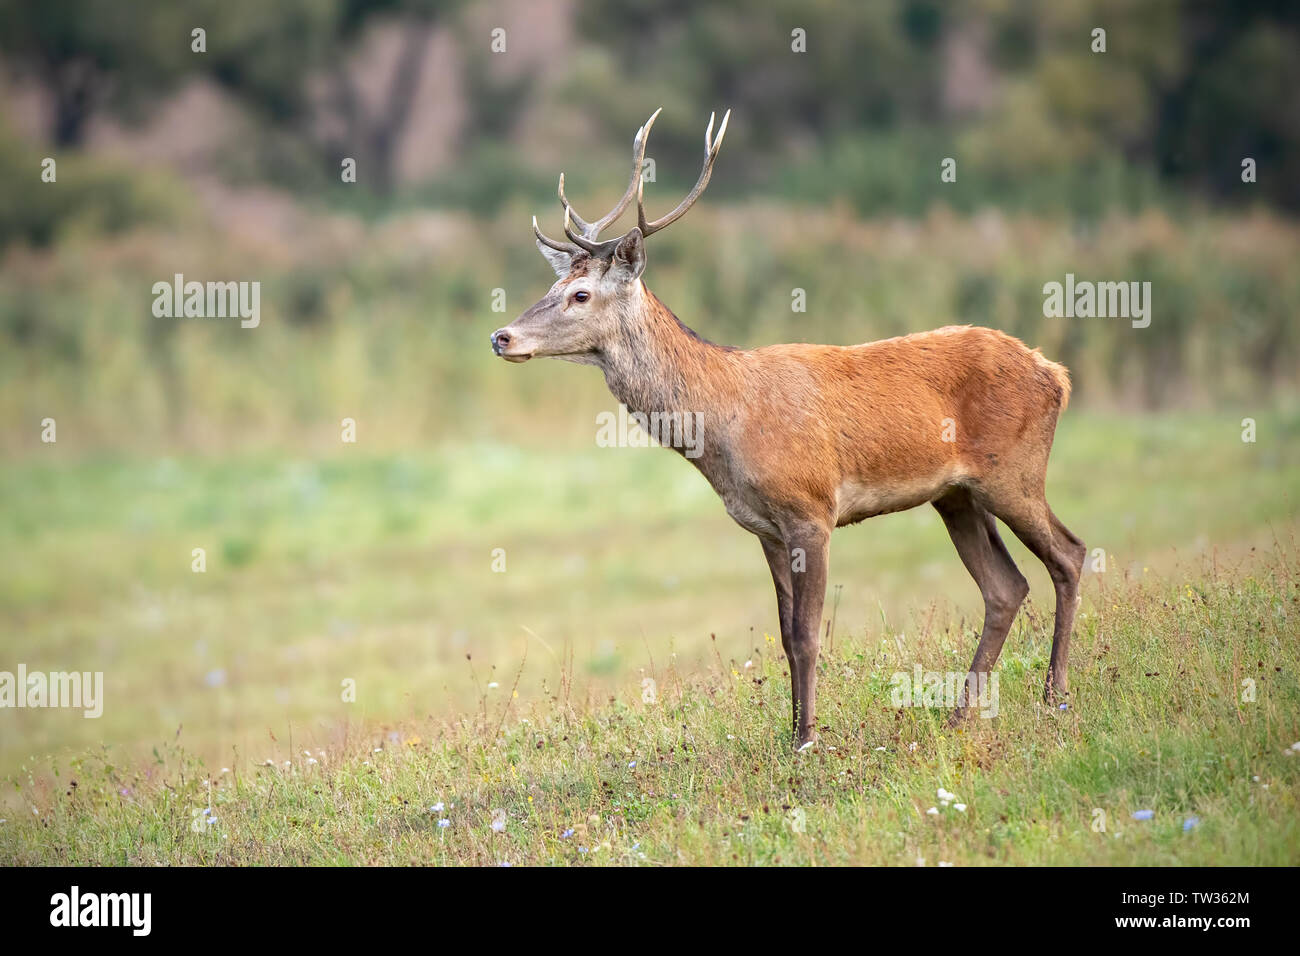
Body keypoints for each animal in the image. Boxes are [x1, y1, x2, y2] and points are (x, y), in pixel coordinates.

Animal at [488, 111, 1086, 749]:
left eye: (580, 294)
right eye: (550, 287)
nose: (502, 336)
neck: (723, 425)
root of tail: (1056, 374)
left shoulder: (811, 510)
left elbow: (807, 632)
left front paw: (807, 739)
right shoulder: (765, 529)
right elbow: (783, 634)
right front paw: (794, 733)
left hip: (1014, 471)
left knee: (1069, 555)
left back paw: (1054, 695)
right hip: (955, 494)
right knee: (1005, 587)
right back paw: (959, 714)